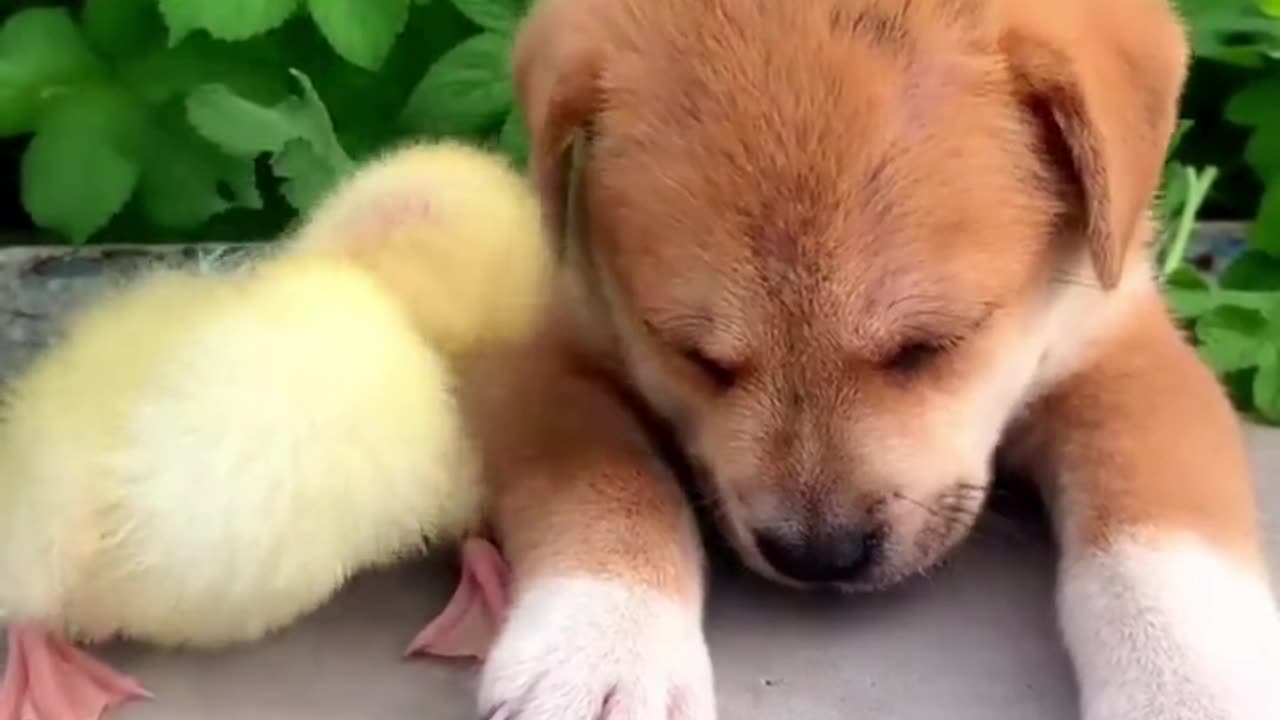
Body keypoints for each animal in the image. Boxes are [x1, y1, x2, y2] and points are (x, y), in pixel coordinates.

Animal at [465, 1, 1280, 717]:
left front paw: (1191, 691)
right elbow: (607, 485)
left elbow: (1159, 536)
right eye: (696, 358)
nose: (819, 557)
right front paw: (600, 652)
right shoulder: (544, 356)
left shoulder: (1121, 349)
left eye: (931, 346)